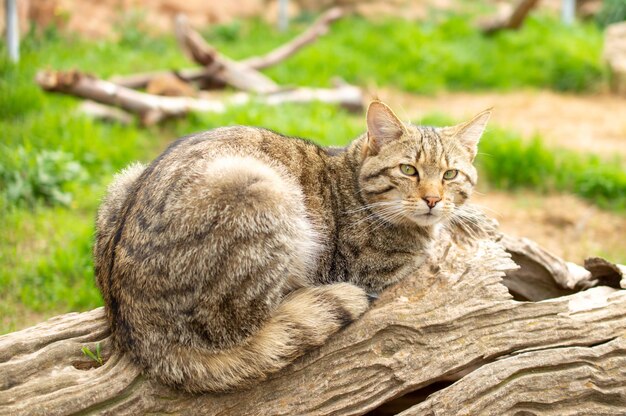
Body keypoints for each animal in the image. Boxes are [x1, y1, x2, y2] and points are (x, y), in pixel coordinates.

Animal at [95, 101, 490, 394]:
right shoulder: (372, 271)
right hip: (260, 190)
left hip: (126, 180)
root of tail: (139, 334)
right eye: (408, 170)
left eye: (450, 175)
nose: (433, 200)